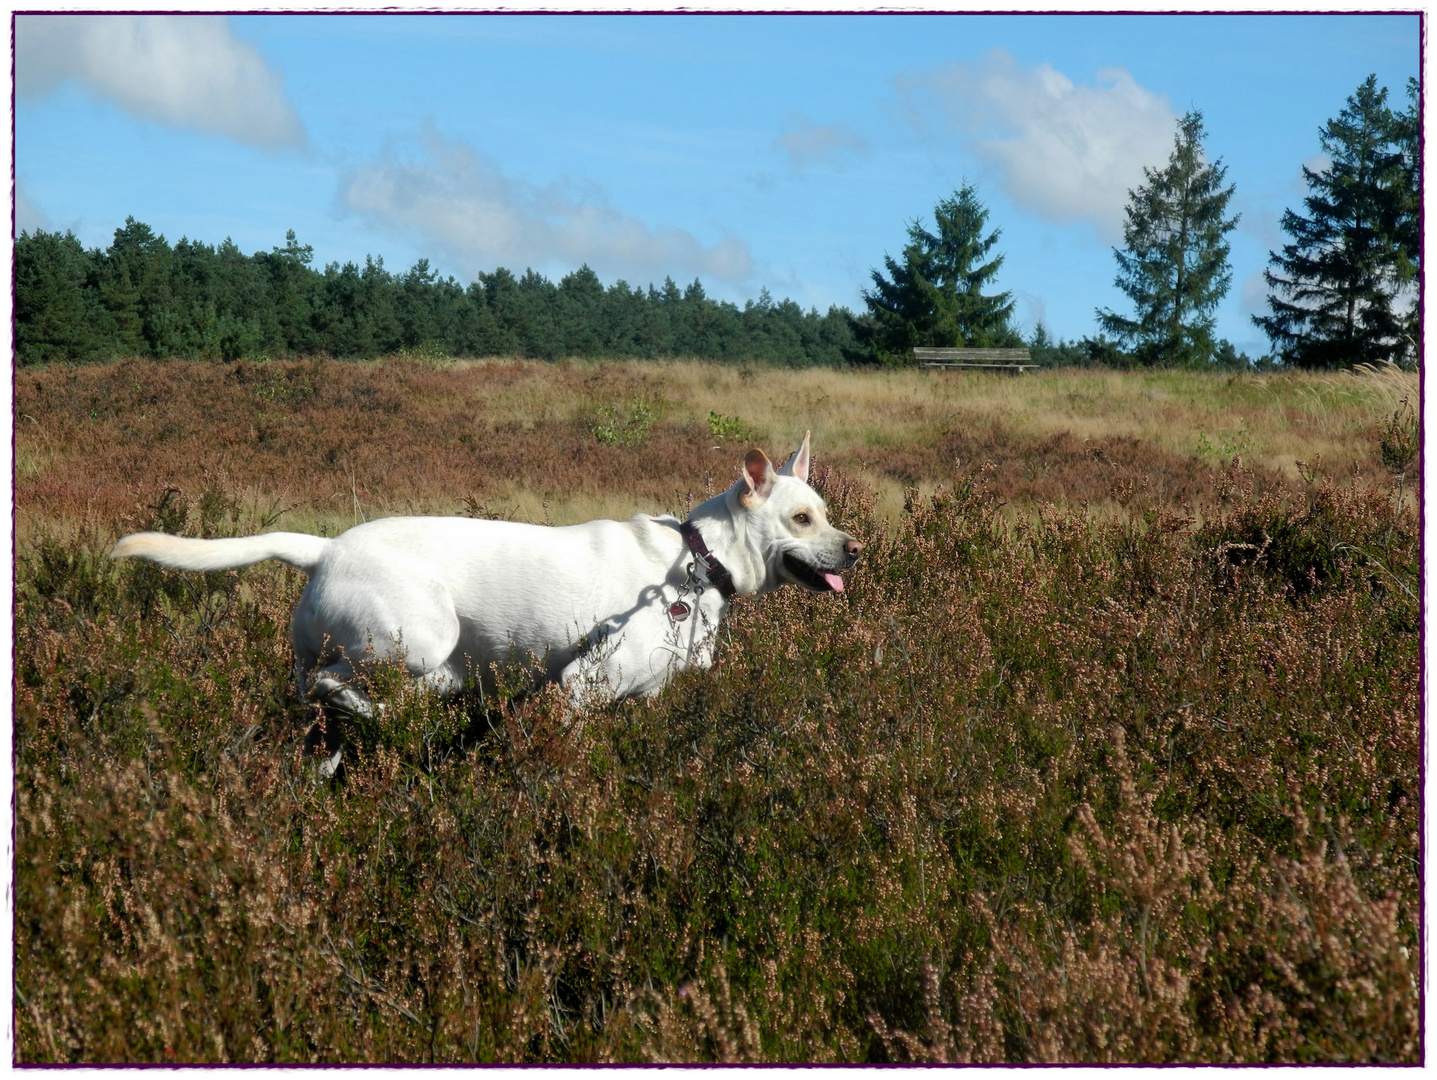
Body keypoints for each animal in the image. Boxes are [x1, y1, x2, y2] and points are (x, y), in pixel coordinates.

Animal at [112, 430, 856, 718]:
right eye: (799, 519)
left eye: (824, 513)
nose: (855, 551)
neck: (694, 564)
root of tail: (322, 548)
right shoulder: (578, 689)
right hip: (420, 643)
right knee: (334, 684)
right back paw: (377, 715)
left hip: (415, 661)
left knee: (307, 683)